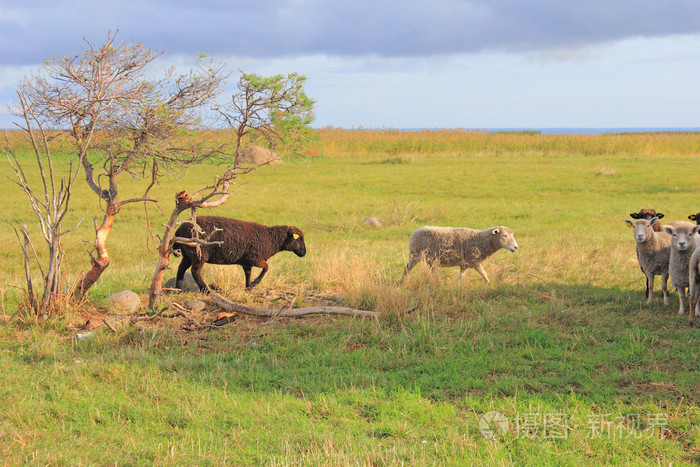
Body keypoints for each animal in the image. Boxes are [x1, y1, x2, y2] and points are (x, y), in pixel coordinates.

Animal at [173, 217, 306, 292]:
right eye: (298, 238)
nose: (304, 253)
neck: (271, 238)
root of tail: (178, 230)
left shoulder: (247, 262)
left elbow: (248, 274)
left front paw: (248, 289)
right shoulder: (255, 258)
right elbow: (266, 268)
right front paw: (254, 284)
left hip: (188, 254)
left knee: (181, 269)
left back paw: (178, 289)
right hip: (198, 254)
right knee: (195, 271)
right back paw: (206, 291)